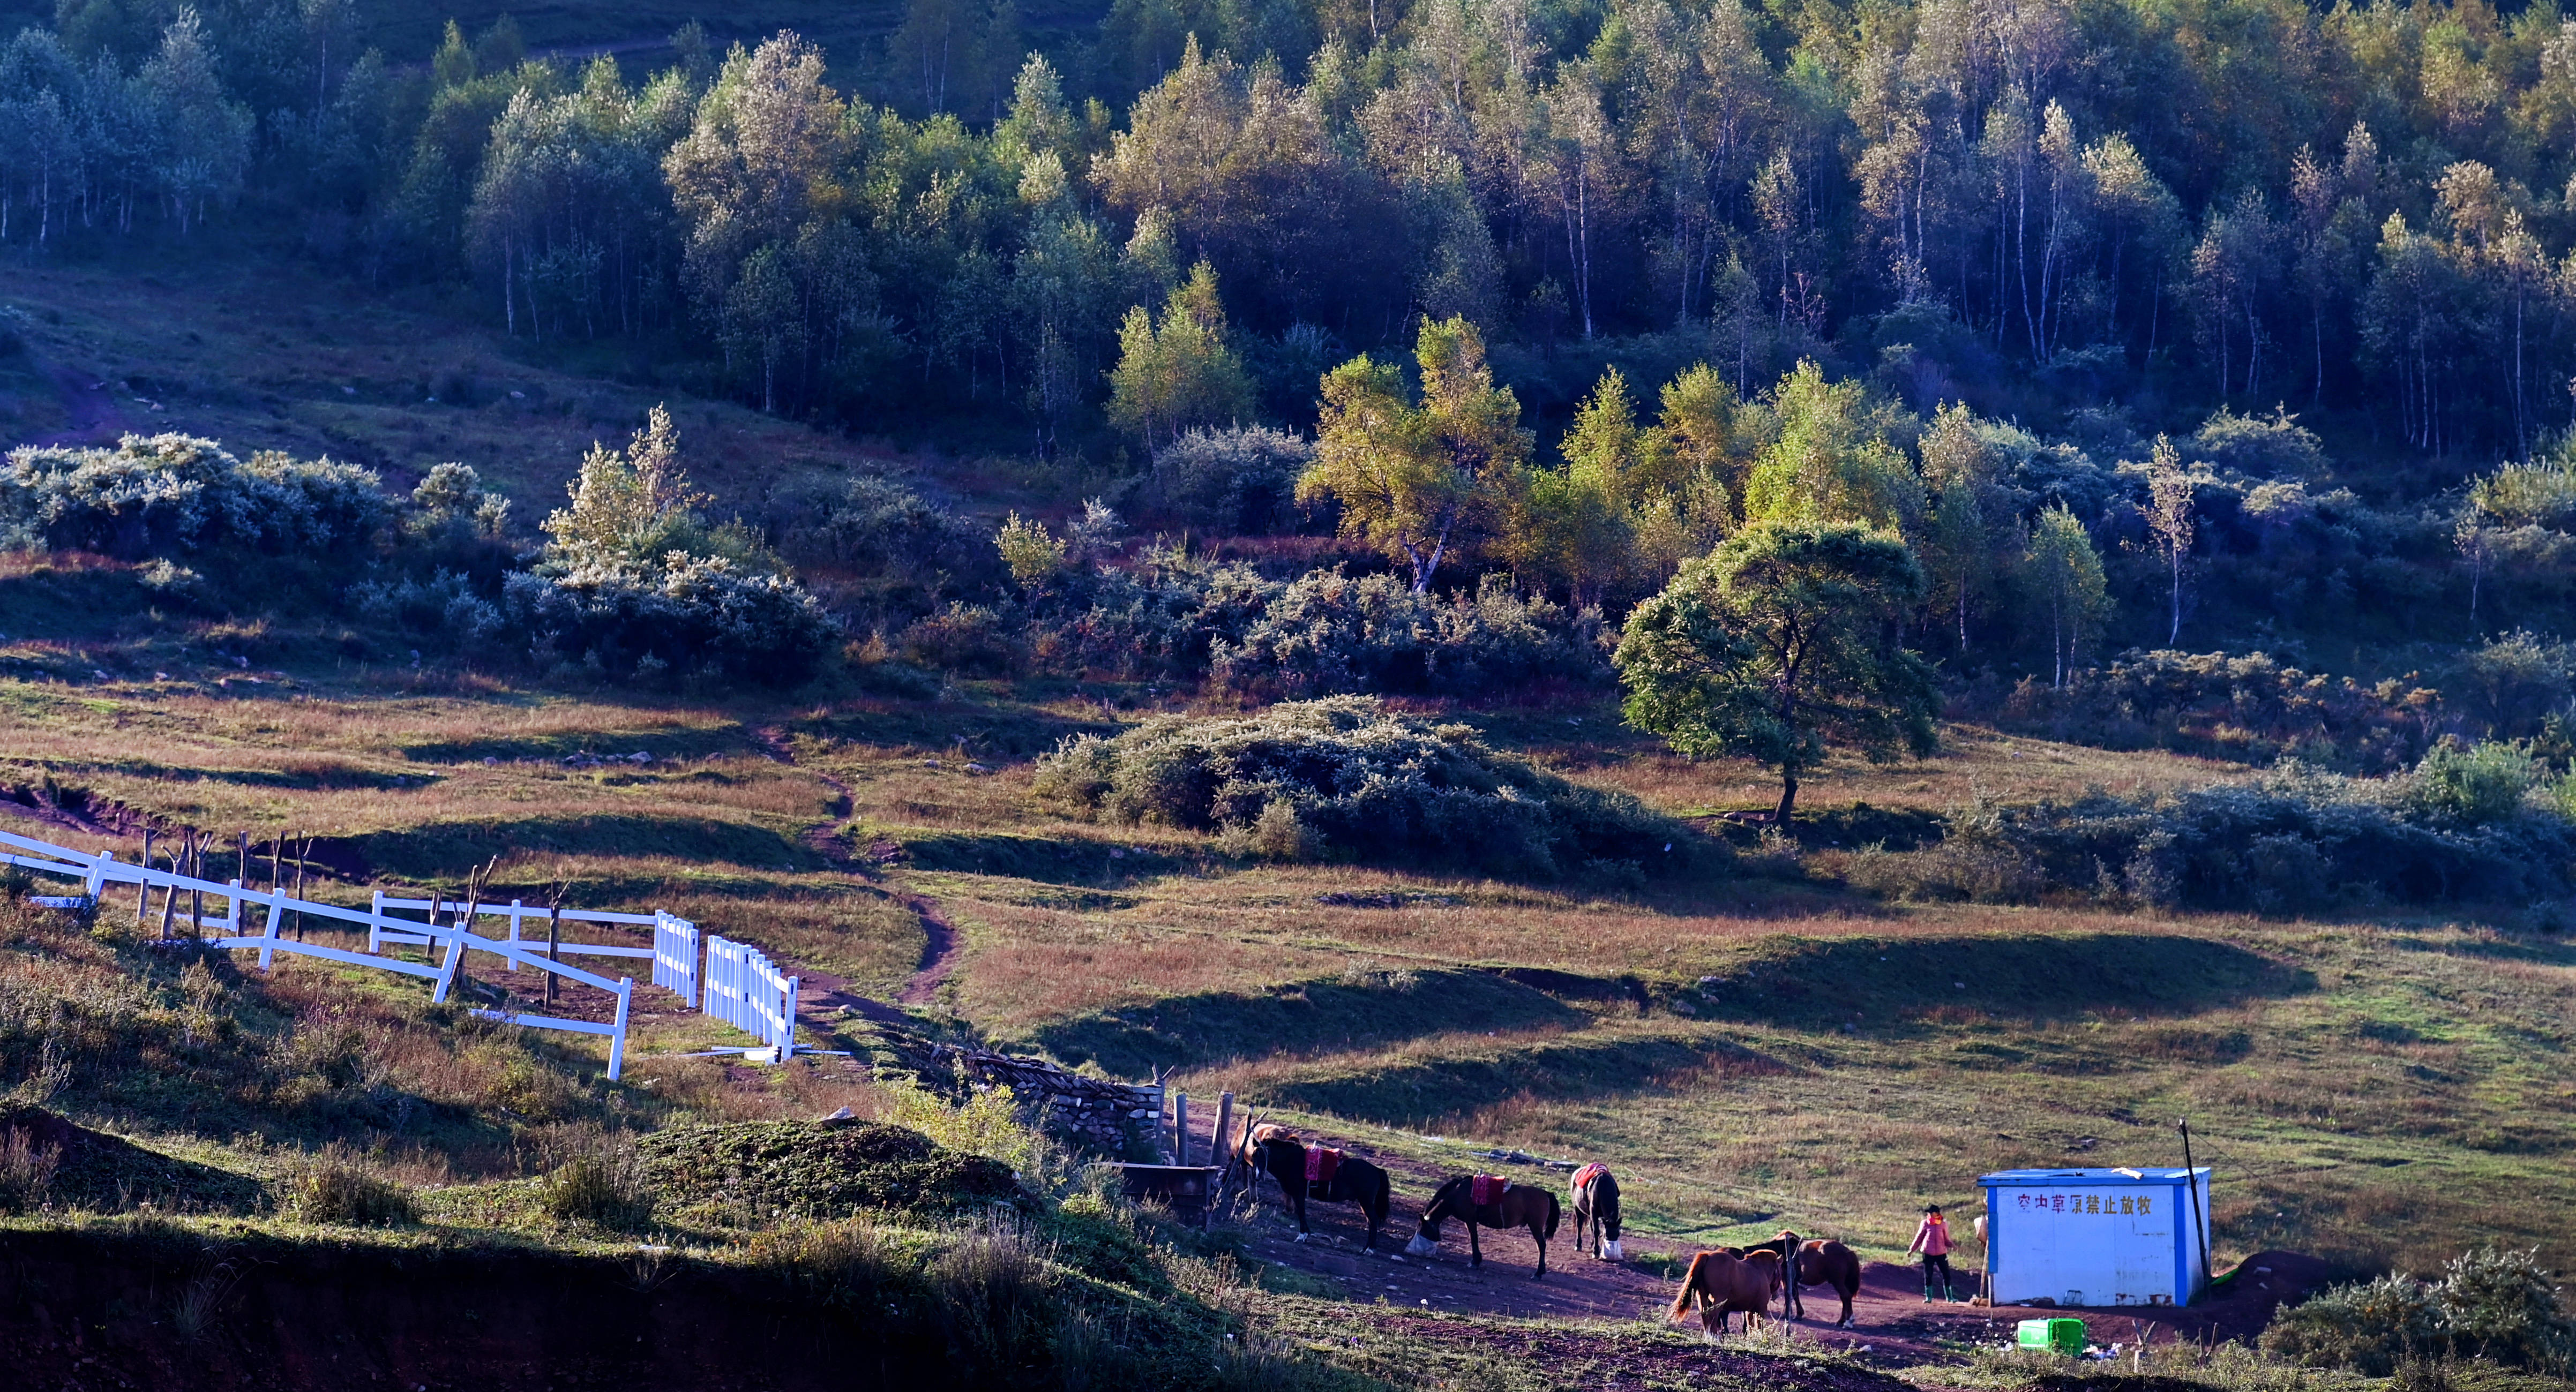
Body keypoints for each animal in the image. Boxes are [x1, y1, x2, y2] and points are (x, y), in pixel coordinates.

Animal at [1401, 1168, 1556, 1276]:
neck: (1457, 1194)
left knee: (1542, 1246)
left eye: (1421, 1228)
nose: (1411, 1250)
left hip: (1535, 1226)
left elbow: (1473, 1239)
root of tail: (1546, 1193)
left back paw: (1538, 1273)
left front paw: (1475, 1262)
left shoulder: (1470, 1220)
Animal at [1556, 1163, 1618, 1260]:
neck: (1604, 1187)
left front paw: (1596, 1248)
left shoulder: (1593, 1214)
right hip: (1577, 1208)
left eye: (1618, 1235)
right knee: (1579, 1225)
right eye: (1607, 1235)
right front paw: (1595, 1252)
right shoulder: (1594, 1211)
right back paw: (1578, 1245)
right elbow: (1596, 1231)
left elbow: (1594, 1229)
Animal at [1679, 1250, 1783, 1338]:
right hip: (1719, 1299)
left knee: (1705, 1314)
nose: (1776, 1295)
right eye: (1779, 1272)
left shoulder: (1749, 1311)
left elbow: (1750, 1326)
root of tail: (1708, 1256)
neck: (1760, 1269)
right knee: (1713, 1315)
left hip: (1703, 1296)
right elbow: (1759, 1326)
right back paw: (1714, 1337)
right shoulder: (1762, 1309)